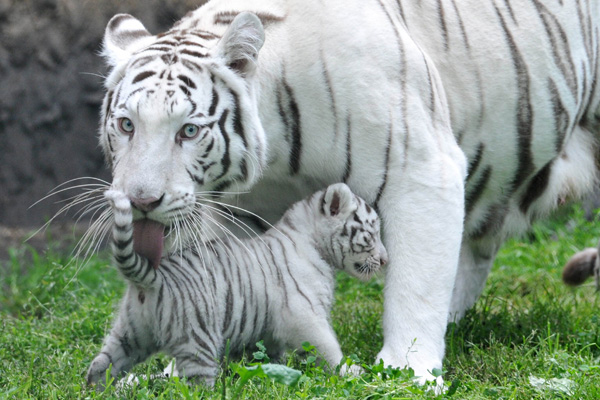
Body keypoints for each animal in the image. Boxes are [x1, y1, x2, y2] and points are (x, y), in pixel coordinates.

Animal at [86, 184, 390, 388]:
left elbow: (268, 355)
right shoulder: (305, 315)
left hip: (130, 333)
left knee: (101, 364)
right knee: (196, 383)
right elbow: (327, 348)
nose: (386, 260)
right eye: (371, 233)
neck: (315, 244)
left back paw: (97, 390)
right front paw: (350, 372)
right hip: (197, 338)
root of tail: (154, 277)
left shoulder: (265, 328)